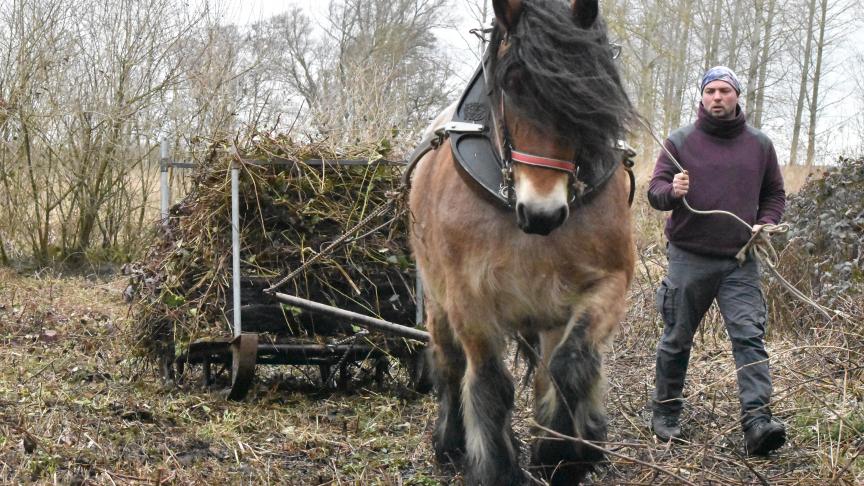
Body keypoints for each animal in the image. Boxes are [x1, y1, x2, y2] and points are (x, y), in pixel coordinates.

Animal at [404, 0, 636, 482]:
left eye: (590, 90)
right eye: (511, 83)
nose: (543, 213)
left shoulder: (607, 284)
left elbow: (572, 365)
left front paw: (562, 453)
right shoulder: (469, 298)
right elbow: (490, 382)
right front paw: (497, 467)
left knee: (552, 366)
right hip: (437, 298)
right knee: (450, 363)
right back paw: (450, 440)